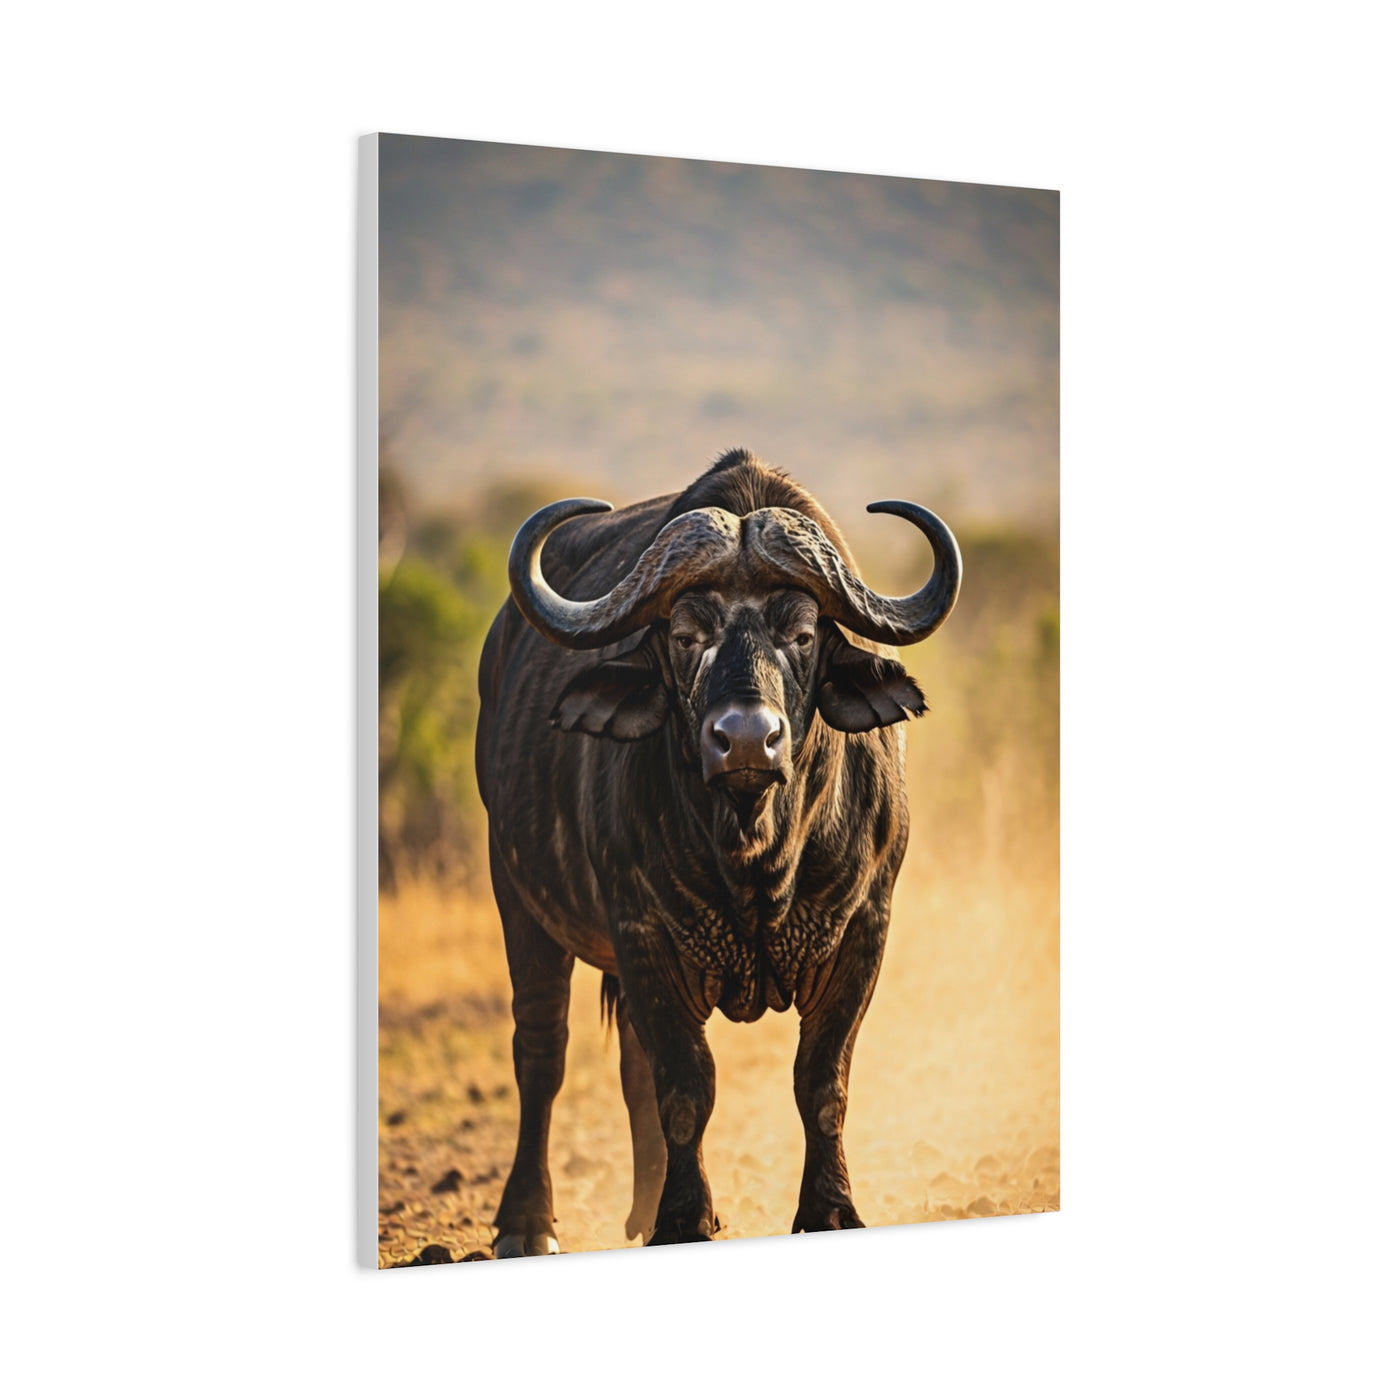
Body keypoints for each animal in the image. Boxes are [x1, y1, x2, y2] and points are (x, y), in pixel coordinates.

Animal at [475, 448, 961, 1253]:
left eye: (802, 634)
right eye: (684, 635)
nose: (745, 740)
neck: (756, 856)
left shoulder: (865, 927)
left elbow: (821, 1081)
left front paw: (829, 1209)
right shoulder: (641, 929)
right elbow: (684, 1084)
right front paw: (684, 1220)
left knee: (626, 1060)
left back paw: (641, 1207)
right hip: (517, 898)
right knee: (541, 1051)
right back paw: (527, 1222)